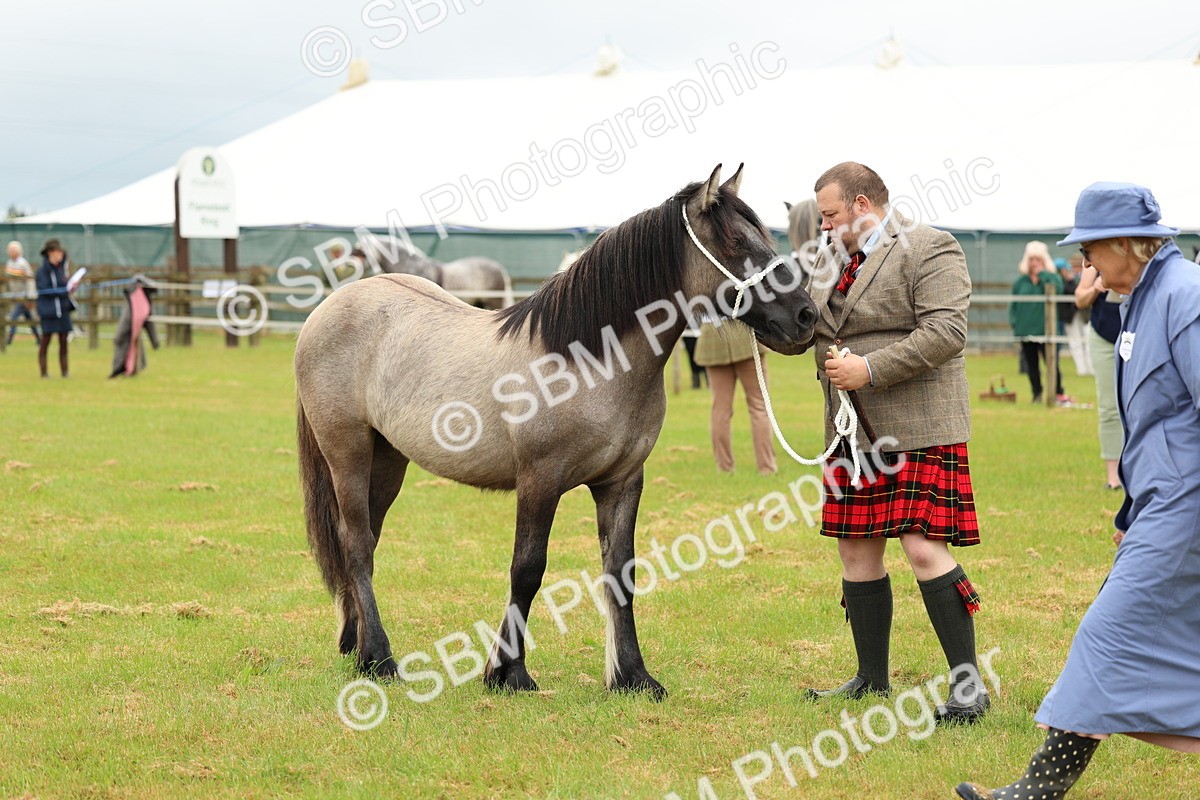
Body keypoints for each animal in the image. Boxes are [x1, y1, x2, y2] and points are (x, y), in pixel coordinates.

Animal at [295, 164, 819, 700]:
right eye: (734, 240)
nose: (805, 316)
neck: (589, 360)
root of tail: (329, 307)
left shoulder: (622, 482)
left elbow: (621, 574)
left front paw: (632, 676)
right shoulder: (539, 480)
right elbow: (527, 570)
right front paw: (508, 673)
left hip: (387, 459)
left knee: (365, 539)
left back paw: (355, 645)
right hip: (347, 452)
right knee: (357, 544)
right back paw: (380, 659)